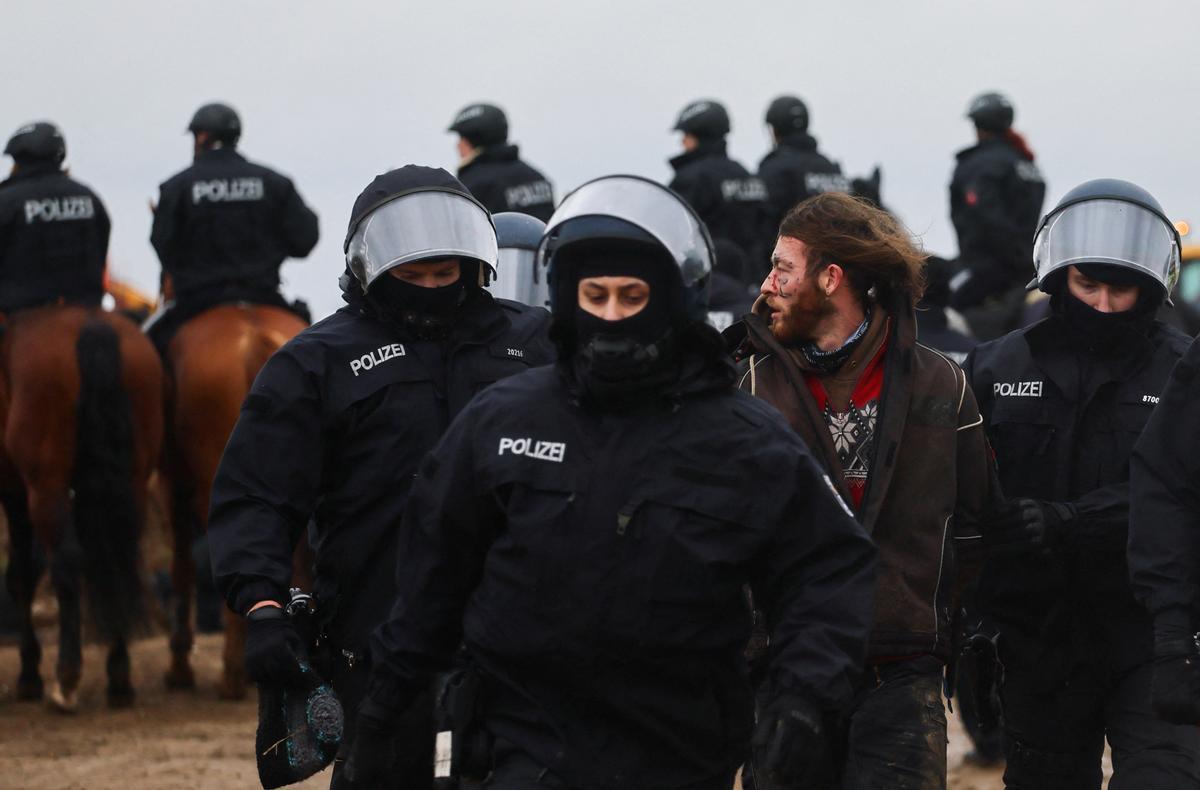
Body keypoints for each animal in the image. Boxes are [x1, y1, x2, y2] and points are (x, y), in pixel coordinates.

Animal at [0, 304, 164, 710]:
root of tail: (91, 324)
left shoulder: (16, 493)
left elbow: (21, 574)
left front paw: (29, 675)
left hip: (47, 486)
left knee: (66, 562)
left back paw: (67, 677)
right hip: (132, 480)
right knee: (120, 557)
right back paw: (119, 677)